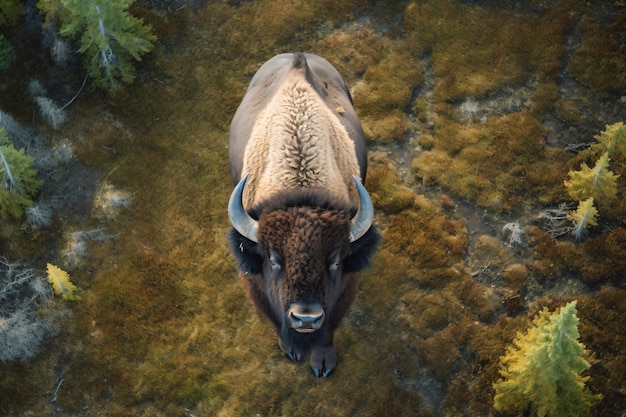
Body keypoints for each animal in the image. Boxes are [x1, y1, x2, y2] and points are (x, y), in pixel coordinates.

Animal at [227, 52, 378, 376]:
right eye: (273, 259)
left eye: (335, 261)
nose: (306, 318)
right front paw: (292, 349)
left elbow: (330, 327)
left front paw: (322, 363)